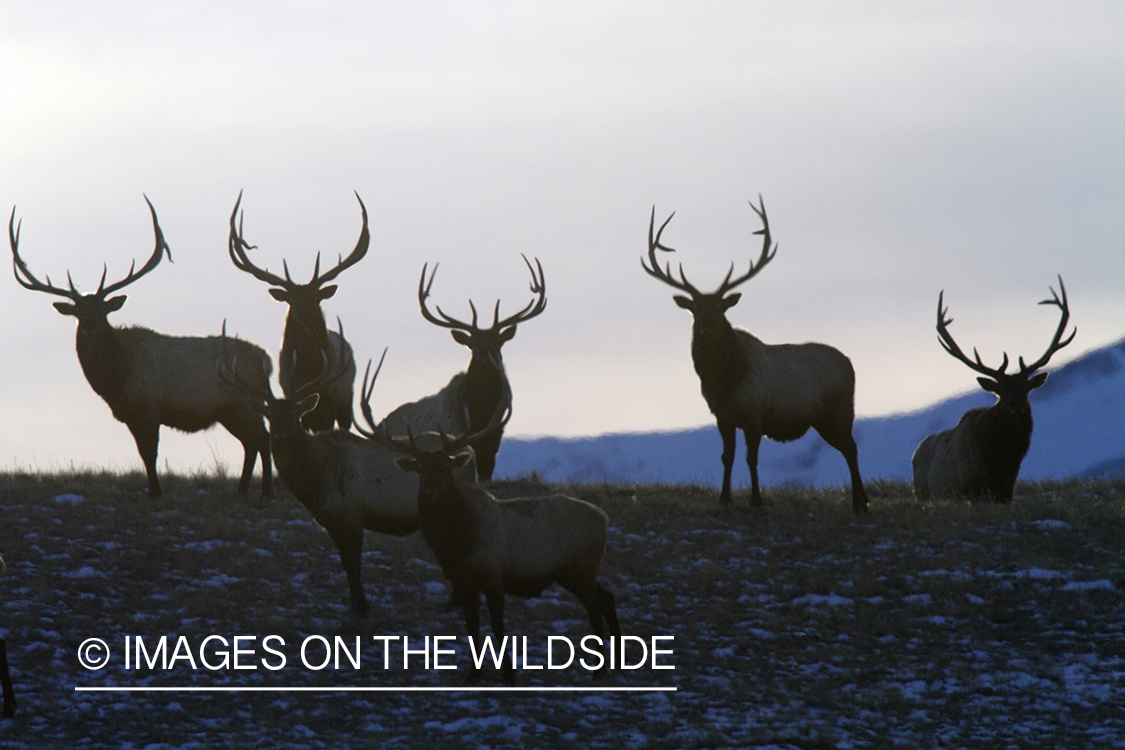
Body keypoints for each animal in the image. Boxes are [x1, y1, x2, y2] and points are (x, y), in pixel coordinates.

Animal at [10, 198, 273, 501]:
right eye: (78, 313)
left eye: (103, 311)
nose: (88, 329)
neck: (116, 378)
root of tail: (266, 360)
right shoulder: (129, 415)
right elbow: (143, 453)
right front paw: (152, 490)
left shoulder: (149, 407)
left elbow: (150, 453)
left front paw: (157, 492)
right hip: (231, 411)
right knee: (251, 442)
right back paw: (243, 490)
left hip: (246, 402)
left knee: (263, 438)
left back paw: (266, 493)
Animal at [227, 191, 368, 432]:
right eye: (291, 300)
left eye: (315, 299)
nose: (303, 318)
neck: (308, 367)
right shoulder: (288, 390)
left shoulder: (329, 398)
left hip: (346, 399)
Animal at [377, 373, 620, 685]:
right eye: (420, 466)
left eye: (445, 465)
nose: (431, 487)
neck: (455, 542)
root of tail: (603, 518)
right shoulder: (462, 581)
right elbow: (472, 627)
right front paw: (473, 674)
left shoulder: (494, 575)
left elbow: (497, 626)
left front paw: (508, 674)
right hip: (576, 572)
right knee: (606, 597)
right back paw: (618, 661)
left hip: (580, 568)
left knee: (595, 604)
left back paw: (601, 669)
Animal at [641, 196, 868, 514]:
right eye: (695, 309)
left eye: (720, 309)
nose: (706, 326)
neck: (725, 382)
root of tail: (849, 363)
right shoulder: (722, 416)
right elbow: (727, 457)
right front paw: (724, 497)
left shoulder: (754, 413)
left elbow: (752, 458)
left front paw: (756, 499)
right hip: (822, 418)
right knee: (848, 447)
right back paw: (860, 500)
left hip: (841, 407)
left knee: (851, 447)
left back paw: (861, 501)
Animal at [912, 277, 1075, 501]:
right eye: (1001, 391)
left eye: (1025, 388)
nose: (1016, 404)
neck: (1001, 462)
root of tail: (915, 452)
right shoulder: (971, 489)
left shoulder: (1007, 490)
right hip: (925, 492)